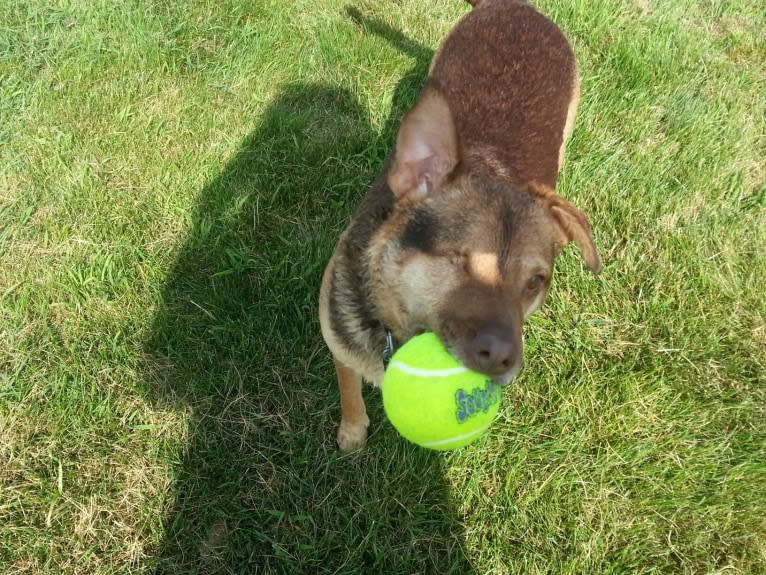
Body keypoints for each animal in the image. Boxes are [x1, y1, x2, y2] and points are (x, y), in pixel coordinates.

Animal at [320, 0, 604, 450]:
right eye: (458, 259)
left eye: (535, 282)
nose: (503, 360)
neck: (393, 328)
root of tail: (513, 5)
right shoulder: (340, 345)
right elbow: (349, 390)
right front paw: (352, 432)